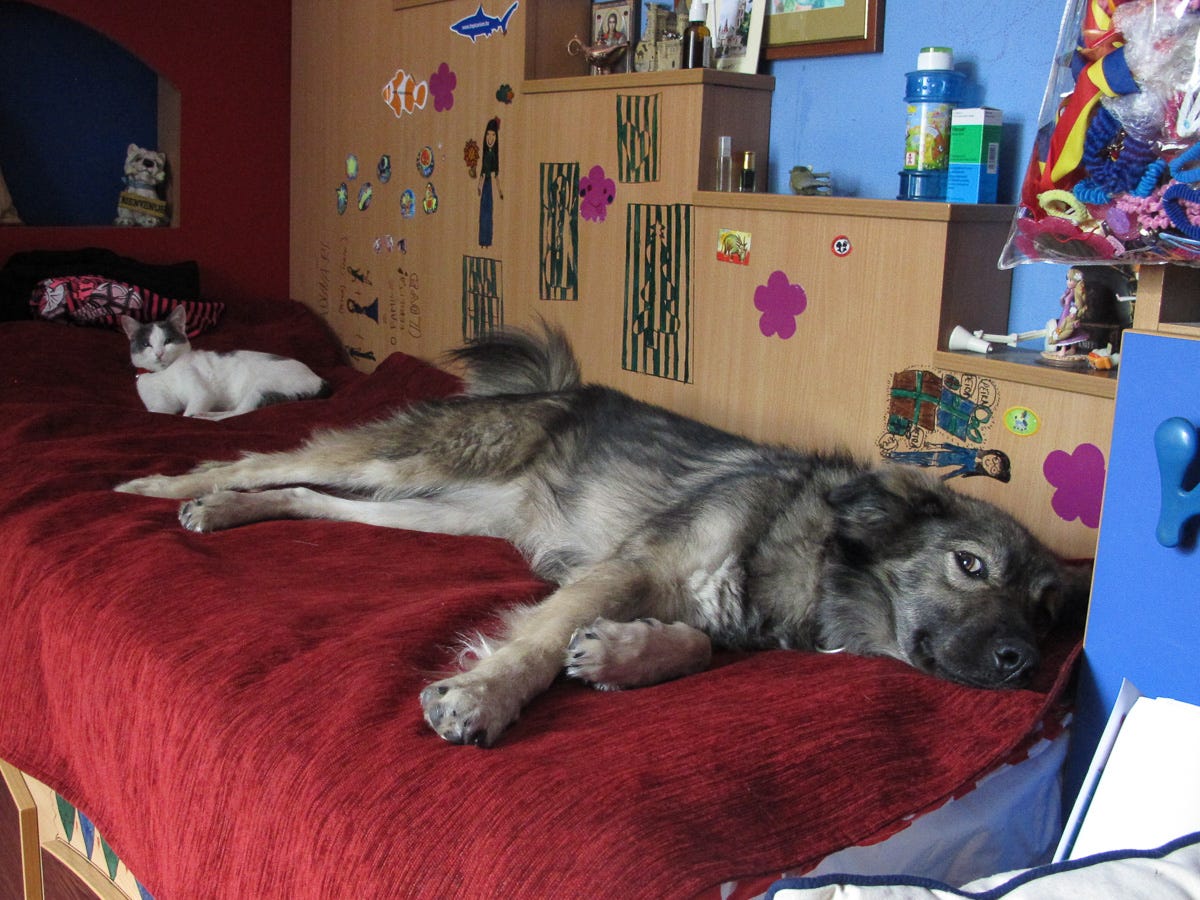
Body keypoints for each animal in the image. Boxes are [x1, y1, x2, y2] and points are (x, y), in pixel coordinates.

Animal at [115, 323, 1085, 747]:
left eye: (1046, 615)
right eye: (970, 565)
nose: (1023, 662)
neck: (810, 550)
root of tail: (549, 389)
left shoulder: (682, 600)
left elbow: (693, 646)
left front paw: (625, 656)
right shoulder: (623, 569)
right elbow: (541, 644)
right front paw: (485, 697)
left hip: (439, 507)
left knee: (309, 497)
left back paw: (227, 514)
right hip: (415, 460)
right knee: (261, 456)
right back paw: (172, 486)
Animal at [120, 305, 331, 420]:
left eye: (168, 341)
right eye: (147, 344)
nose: (159, 353)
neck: (163, 373)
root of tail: (320, 380)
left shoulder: (201, 393)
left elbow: (189, 412)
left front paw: (192, 415)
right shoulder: (160, 407)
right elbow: (160, 412)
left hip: (261, 388)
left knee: (238, 414)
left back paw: (206, 416)